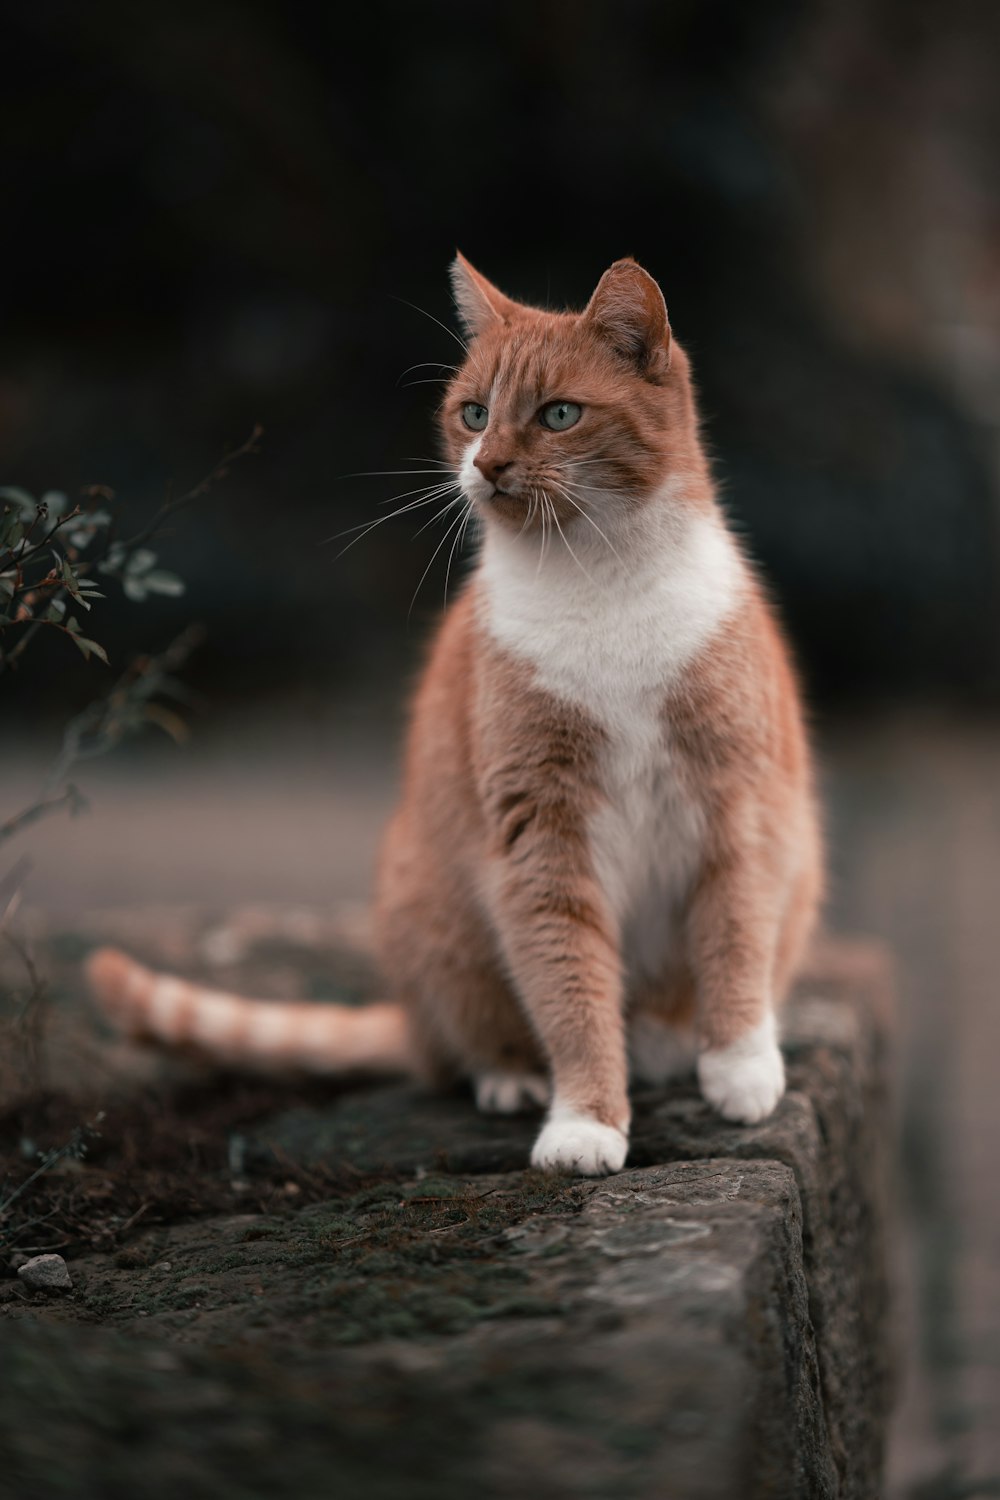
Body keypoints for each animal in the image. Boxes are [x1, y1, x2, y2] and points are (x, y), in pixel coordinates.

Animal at [83, 255, 821, 1170]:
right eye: (473, 413)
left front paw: (740, 1067)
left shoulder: (737, 805)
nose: (488, 464)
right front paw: (585, 1119)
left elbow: (735, 937)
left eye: (559, 414)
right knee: (464, 1043)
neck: (596, 579)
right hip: (433, 917)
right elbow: (570, 984)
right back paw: (512, 1078)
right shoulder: (538, 832)